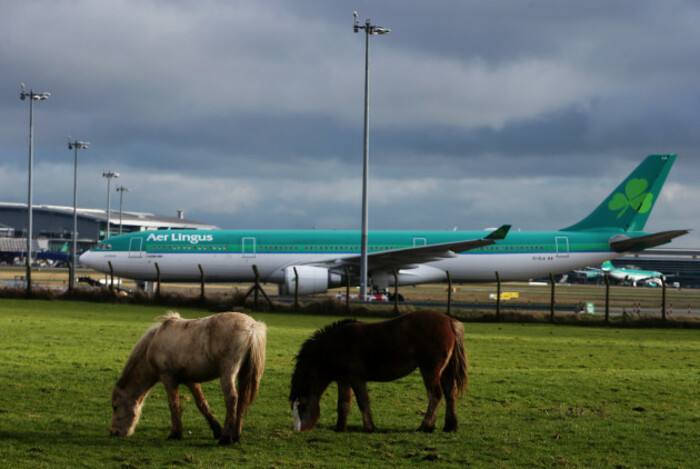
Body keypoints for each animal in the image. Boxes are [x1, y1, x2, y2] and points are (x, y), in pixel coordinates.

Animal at [110, 310, 266, 442]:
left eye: (115, 407)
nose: (114, 432)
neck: (153, 344)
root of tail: (251, 327)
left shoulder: (168, 378)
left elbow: (174, 404)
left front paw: (175, 434)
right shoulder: (191, 381)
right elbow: (202, 404)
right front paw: (216, 430)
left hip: (228, 372)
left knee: (232, 398)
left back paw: (226, 439)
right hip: (244, 374)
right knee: (242, 400)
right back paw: (236, 435)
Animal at [288, 308, 468, 434]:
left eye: (301, 407)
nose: (299, 430)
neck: (333, 346)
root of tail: (449, 321)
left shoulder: (357, 378)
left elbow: (363, 402)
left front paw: (369, 427)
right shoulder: (343, 379)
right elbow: (343, 403)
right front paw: (340, 428)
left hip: (429, 370)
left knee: (435, 395)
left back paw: (426, 426)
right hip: (444, 372)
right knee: (450, 393)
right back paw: (450, 426)